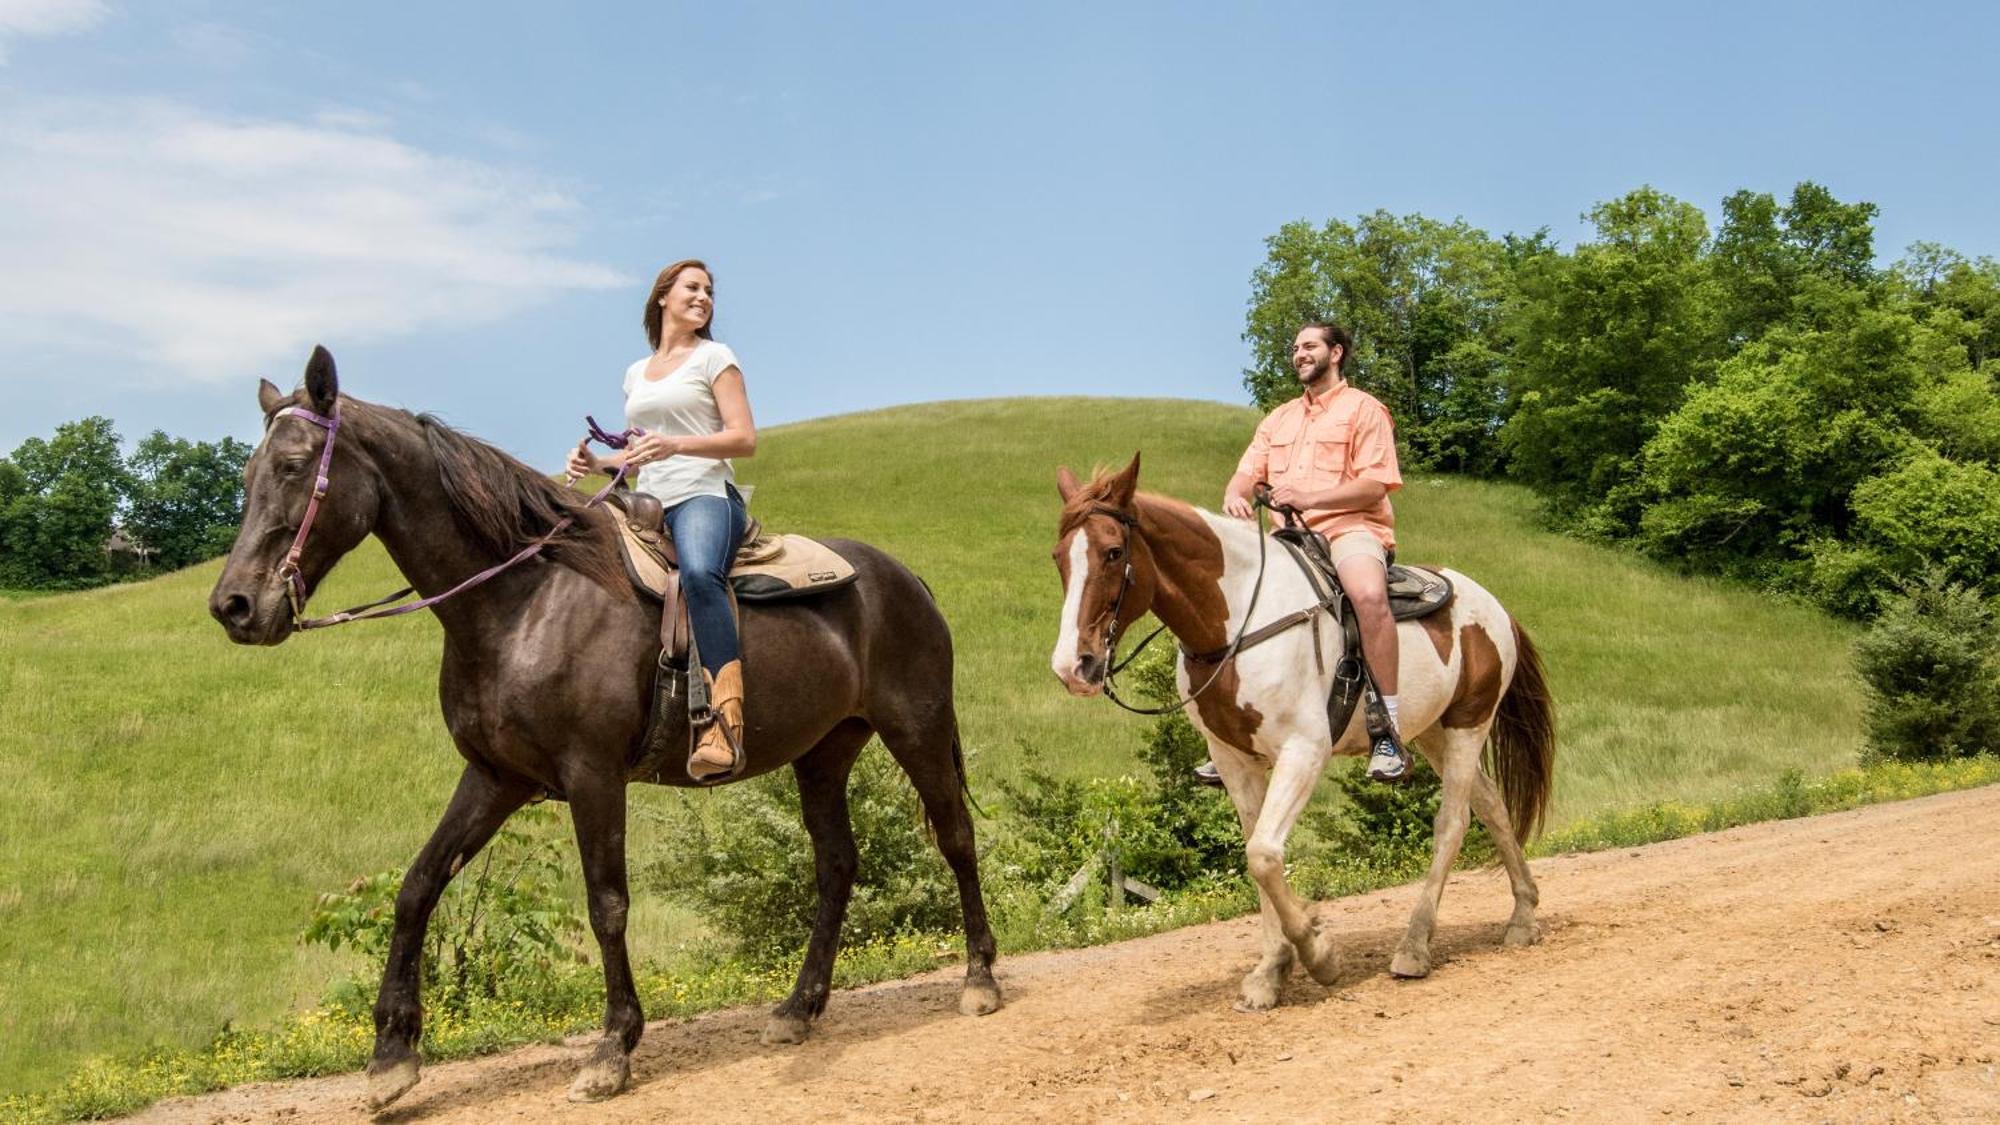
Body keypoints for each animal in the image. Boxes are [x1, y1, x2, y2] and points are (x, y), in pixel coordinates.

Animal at [211, 348, 1000, 1104]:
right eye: (248, 472)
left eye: (293, 467)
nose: (234, 606)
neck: (523, 599)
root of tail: (904, 577)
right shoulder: (495, 777)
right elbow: (418, 886)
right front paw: (391, 1059)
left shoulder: (593, 776)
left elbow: (607, 905)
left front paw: (612, 1049)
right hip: (824, 754)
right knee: (836, 864)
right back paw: (798, 1009)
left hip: (917, 728)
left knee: (955, 836)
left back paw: (980, 979)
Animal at [1056, 456, 1552, 1008]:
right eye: (1059, 557)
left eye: (1113, 552)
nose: (1073, 667)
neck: (1236, 623)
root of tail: (1495, 606)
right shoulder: (1233, 761)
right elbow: (1257, 852)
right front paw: (1270, 972)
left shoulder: (1304, 750)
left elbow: (1264, 855)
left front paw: (1319, 954)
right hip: (1435, 733)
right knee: (1491, 806)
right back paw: (1522, 914)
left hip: (1470, 723)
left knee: (1453, 823)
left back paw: (1415, 946)